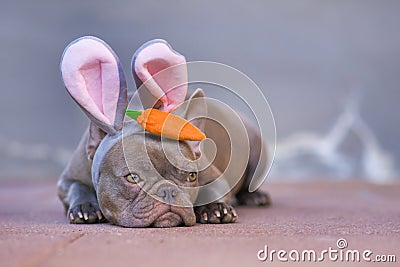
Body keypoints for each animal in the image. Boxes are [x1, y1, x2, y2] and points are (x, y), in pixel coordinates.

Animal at [56, 36, 270, 228]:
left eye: (191, 176)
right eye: (132, 177)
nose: (168, 190)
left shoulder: (214, 176)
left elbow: (213, 189)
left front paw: (215, 208)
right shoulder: (68, 179)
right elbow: (77, 187)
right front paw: (85, 207)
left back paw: (255, 196)